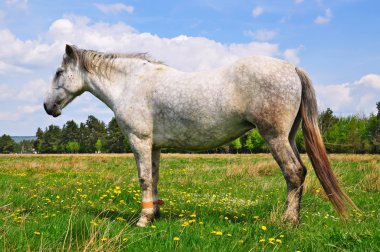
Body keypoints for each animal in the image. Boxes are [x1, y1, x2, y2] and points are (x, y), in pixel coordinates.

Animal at [44, 44, 356, 227]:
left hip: (274, 136)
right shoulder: (154, 146)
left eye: (59, 72)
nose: (48, 107)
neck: (131, 83)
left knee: (293, 173)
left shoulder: (139, 141)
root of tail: (291, 67)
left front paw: (143, 220)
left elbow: (143, 178)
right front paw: (154, 214)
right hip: (288, 136)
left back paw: (288, 222)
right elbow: (154, 178)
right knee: (300, 171)